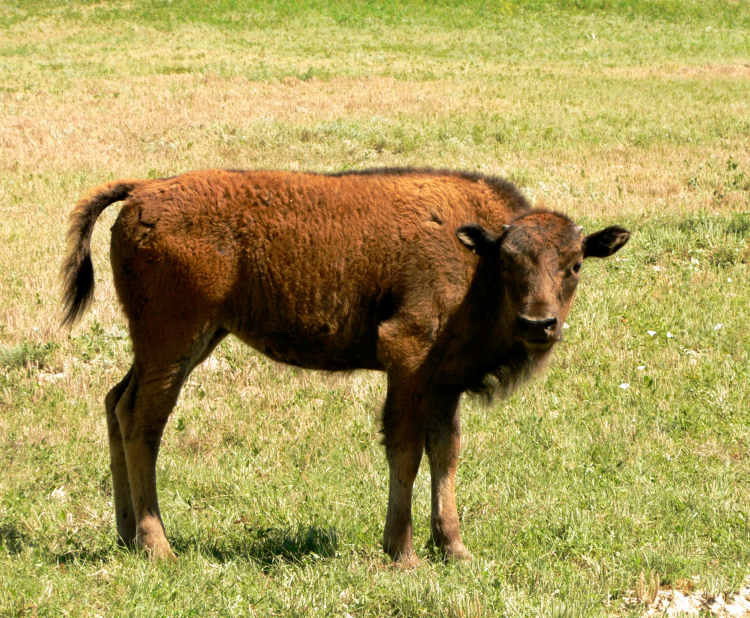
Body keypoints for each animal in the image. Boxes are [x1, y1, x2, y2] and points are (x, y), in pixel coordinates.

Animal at [62, 168, 629, 565]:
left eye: (575, 264)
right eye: (509, 262)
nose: (540, 323)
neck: (475, 257)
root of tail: (144, 191)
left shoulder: (444, 382)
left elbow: (445, 453)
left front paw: (455, 549)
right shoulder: (407, 357)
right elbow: (405, 449)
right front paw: (401, 552)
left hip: (185, 342)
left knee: (117, 402)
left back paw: (126, 535)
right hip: (175, 341)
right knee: (143, 422)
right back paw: (158, 545)